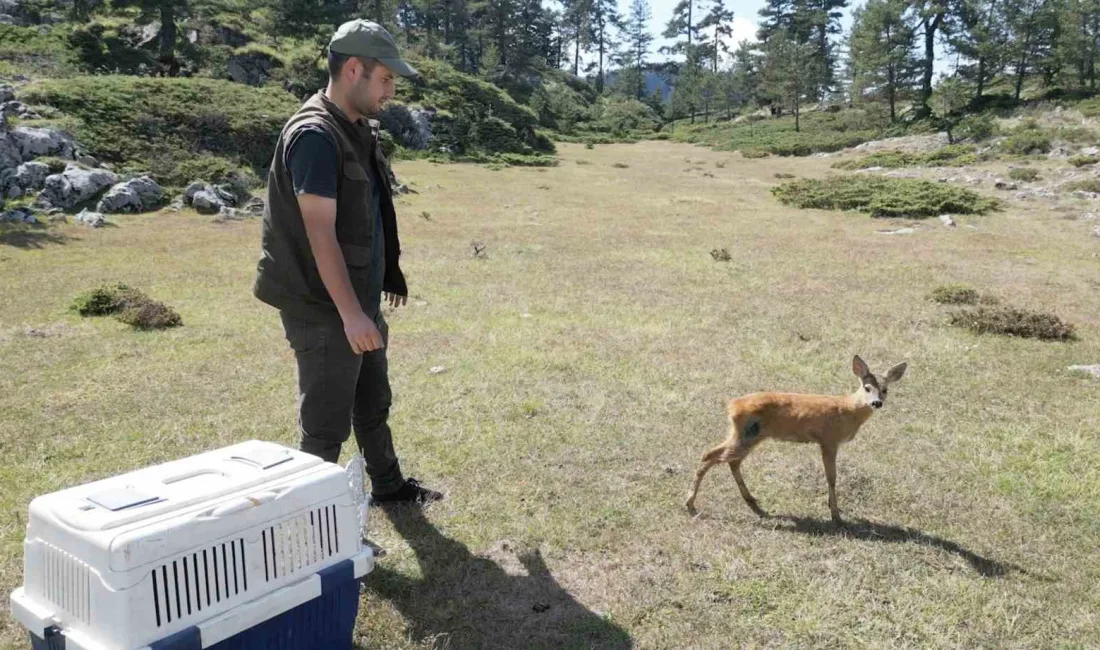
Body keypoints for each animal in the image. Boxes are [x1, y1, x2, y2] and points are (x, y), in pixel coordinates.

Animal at [682, 356, 906, 523]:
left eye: (885, 390)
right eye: (867, 387)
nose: (876, 402)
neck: (848, 410)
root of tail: (732, 406)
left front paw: (834, 509)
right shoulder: (828, 440)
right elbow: (831, 477)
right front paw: (835, 514)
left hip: (747, 435)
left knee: (731, 461)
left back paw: (754, 503)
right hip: (747, 434)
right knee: (710, 455)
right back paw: (690, 504)